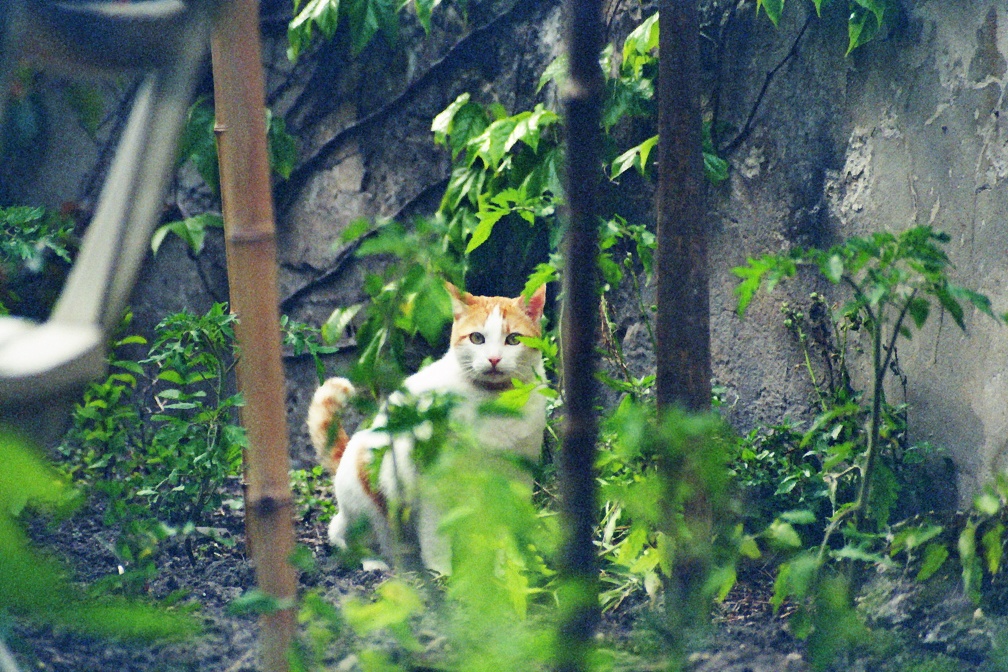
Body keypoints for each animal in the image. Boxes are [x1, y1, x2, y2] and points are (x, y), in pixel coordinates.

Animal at [306, 282, 548, 572]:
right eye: (477, 338)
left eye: (513, 339)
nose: (493, 359)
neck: (495, 404)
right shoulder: (433, 482)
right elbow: (436, 533)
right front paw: (442, 571)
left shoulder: (518, 477)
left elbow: (508, 527)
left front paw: (511, 564)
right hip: (365, 495)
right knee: (345, 535)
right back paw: (377, 562)